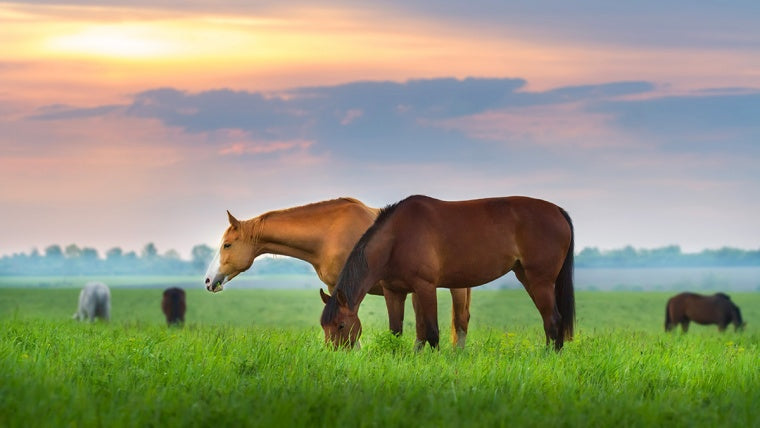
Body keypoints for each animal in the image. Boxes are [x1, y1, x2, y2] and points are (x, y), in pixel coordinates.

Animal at [320, 194, 576, 352]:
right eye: (324, 326)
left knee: (554, 320)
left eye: (341, 325)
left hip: (541, 281)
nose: (334, 354)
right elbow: (396, 331)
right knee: (549, 320)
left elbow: (432, 331)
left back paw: (550, 357)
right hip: (527, 277)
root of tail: (558, 211)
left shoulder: (425, 287)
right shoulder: (394, 292)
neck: (397, 238)